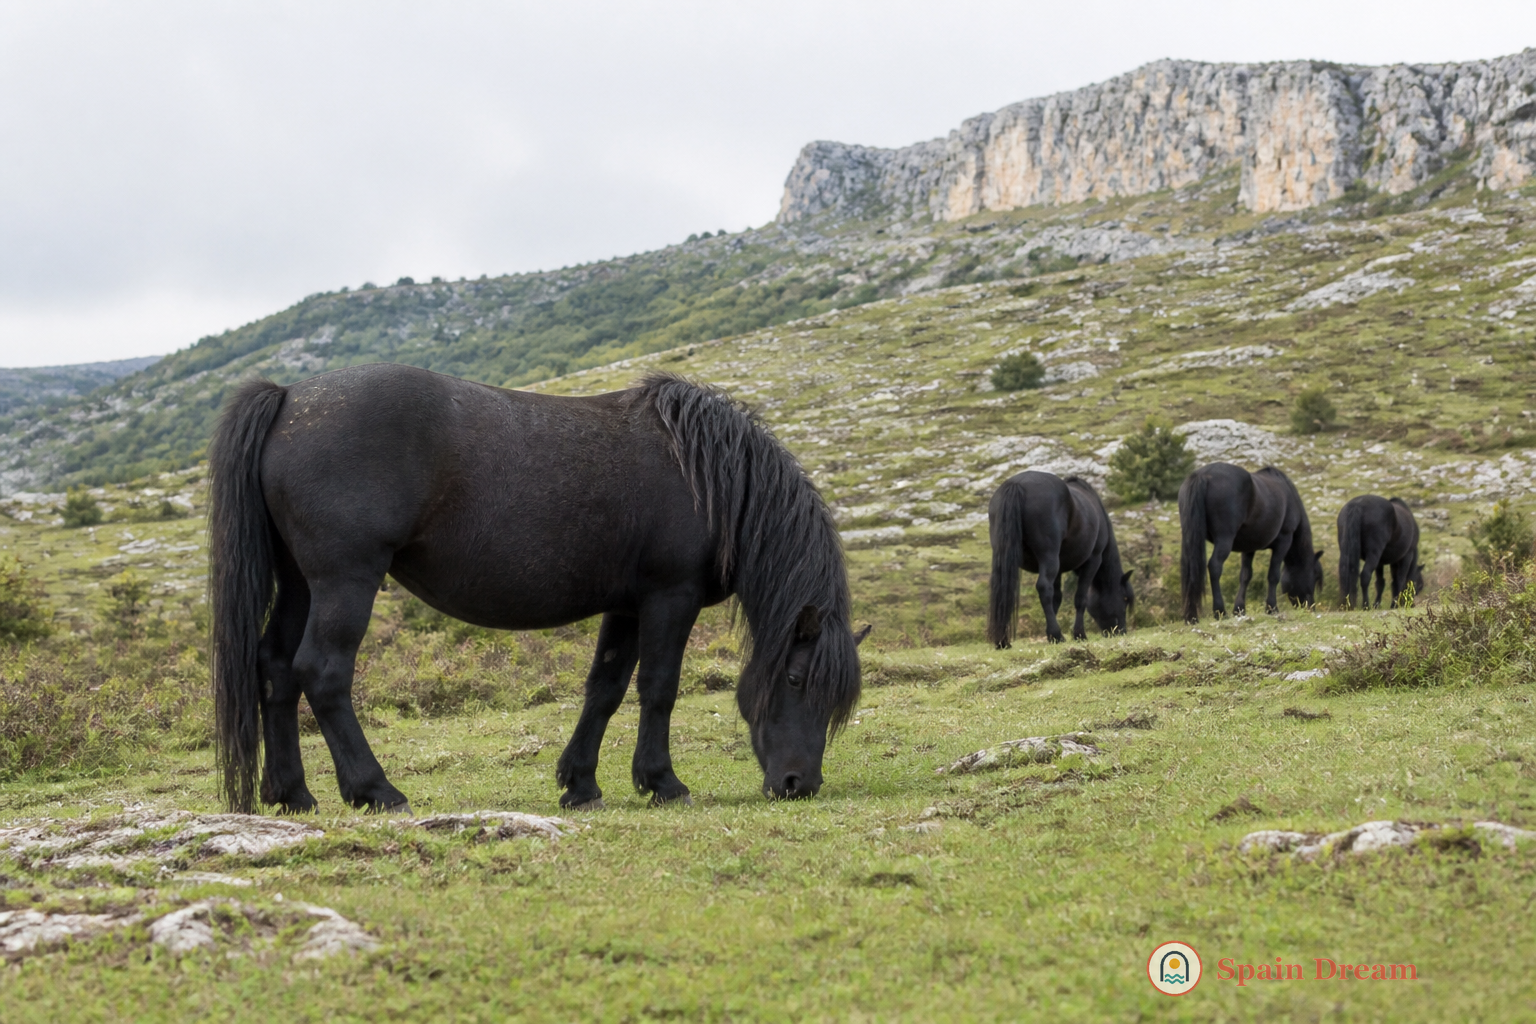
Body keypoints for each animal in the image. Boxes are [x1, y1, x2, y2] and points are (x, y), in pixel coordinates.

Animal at [207, 363, 869, 815]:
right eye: (795, 679)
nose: (799, 785)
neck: (706, 476)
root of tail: (289, 398)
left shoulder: (626, 606)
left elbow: (604, 689)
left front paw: (580, 784)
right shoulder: (668, 598)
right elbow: (658, 690)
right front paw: (663, 782)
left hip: (299, 583)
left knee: (275, 668)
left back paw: (293, 794)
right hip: (344, 581)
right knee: (322, 672)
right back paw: (377, 790)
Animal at [987, 472, 1134, 646]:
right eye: (1125, 598)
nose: (1121, 631)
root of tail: (1017, 484)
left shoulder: (1058, 570)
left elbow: (1056, 598)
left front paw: (1050, 635)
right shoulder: (1093, 561)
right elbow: (1080, 598)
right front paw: (1078, 634)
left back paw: (1002, 641)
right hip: (1048, 556)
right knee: (1044, 588)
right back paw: (1057, 635)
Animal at [1179, 462, 1322, 623]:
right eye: (1315, 575)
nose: (1311, 607)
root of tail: (1203, 475)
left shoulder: (1248, 548)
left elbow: (1245, 576)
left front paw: (1239, 609)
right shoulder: (1283, 541)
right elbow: (1273, 575)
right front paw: (1272, 608)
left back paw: (1191, 616)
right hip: (1224, 539)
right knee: (1215, 566)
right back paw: (1220, 611)